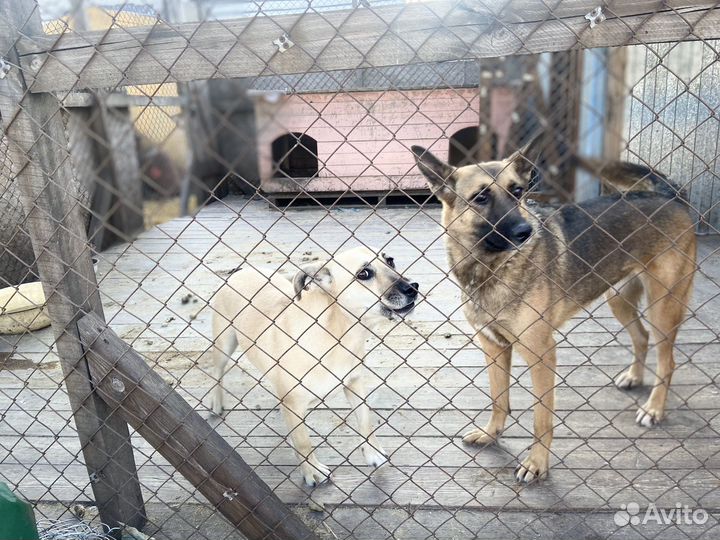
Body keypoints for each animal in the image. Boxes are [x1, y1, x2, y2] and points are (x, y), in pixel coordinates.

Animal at [210, 247, 416, 488]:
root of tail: (241, 271)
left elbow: (365, 420)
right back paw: (216, 403)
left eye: (390, 261)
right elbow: (303, 442)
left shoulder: (354, 383)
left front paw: (373, 453)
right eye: (363, 274)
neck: (338, 332)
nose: (413, 287)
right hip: (224, 342)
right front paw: (313, 472)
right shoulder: (294, 405)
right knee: (216, 370)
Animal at [410, 138, 696, 480]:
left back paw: (654, 408)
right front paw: (492, 434)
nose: (525, 232)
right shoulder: (493, 346)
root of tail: (669, 195)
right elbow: (498, 399)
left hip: (663, 308)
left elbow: (541, 418)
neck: (490, 269)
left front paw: (536, 464)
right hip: (619, 299)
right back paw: (634, 377)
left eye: (517, 191)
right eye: (481, 197)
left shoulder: (542, 353)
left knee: (668, 361)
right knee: (641, 337)